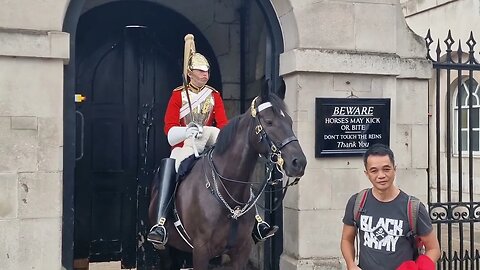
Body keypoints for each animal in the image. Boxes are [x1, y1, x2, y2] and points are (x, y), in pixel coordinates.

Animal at [148, 81, 306, 268]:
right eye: (269, 121)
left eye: (289, 121)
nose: (299, 162)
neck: (229, 191)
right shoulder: (201, 250)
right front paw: (193, 130)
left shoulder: (241, 251)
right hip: (164, 249)